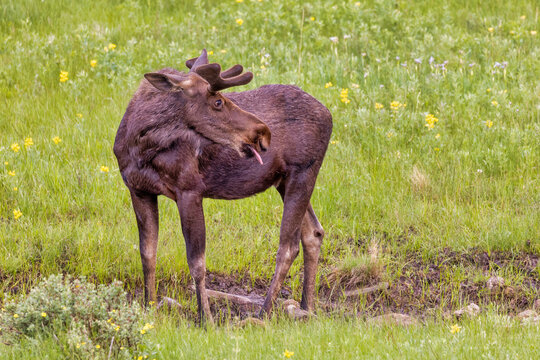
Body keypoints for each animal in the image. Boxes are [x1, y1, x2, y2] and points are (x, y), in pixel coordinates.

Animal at [113, 48, 332, 324]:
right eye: (217, 102)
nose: (263, 132)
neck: (141, 145)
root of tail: (329, 115)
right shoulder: (138, 189)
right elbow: (147, 253)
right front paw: (148, 307)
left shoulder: (190, 189)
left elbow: (197, 262)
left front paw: (206, 319)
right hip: (285, 179)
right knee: (313, 232)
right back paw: (307, 307)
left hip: (302, 172)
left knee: (288, 245)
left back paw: (263, 314)